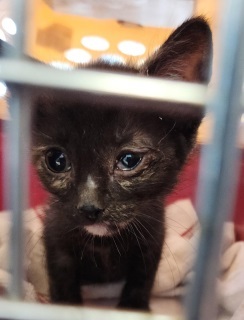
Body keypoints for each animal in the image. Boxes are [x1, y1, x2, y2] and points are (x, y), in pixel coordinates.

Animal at [31, 17, 213, 310]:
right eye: (56, 161)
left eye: (129, 160)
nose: (89, 207)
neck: (104, 243)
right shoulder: (55, 233)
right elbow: (62, 276)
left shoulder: (153, 235)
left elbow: (143, 275)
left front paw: (134, 307)